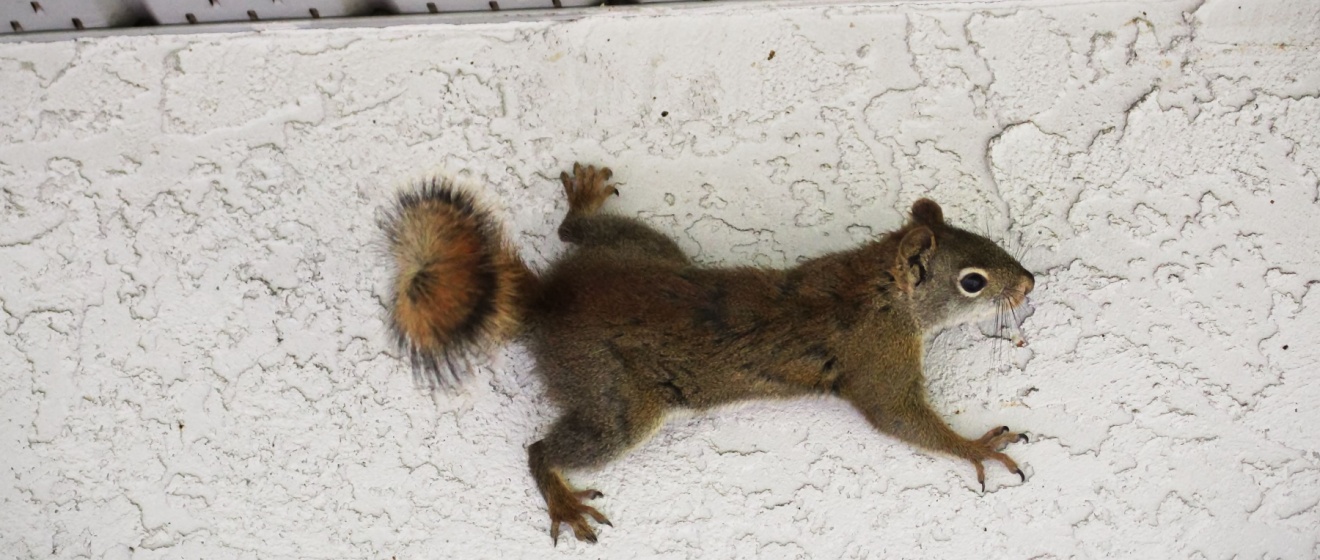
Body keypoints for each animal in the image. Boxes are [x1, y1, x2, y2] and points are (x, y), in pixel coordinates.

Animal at [382, 163, 1036, 545]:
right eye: (973, 281)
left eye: (989, 240)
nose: (1029, 284)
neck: (876, 285)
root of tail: (551, 299)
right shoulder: (877, 359)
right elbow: (899, 418)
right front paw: (977, 446)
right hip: (617, 398)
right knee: (544, 448)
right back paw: (563, 500)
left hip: (645, 248)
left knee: (574, 235)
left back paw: (585, 204)